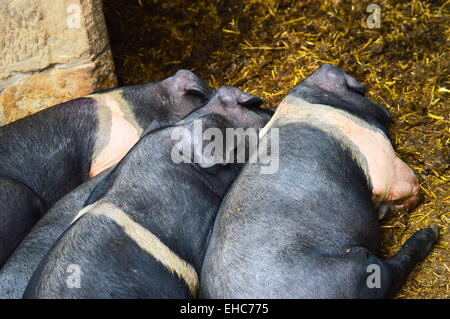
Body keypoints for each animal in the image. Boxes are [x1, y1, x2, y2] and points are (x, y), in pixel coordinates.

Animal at [200, 64, 440, 300]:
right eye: (361, 92)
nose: (387, 110)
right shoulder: (379, 155)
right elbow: (406, 181)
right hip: (354, 272)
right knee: (393, 270)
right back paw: (431, 231)